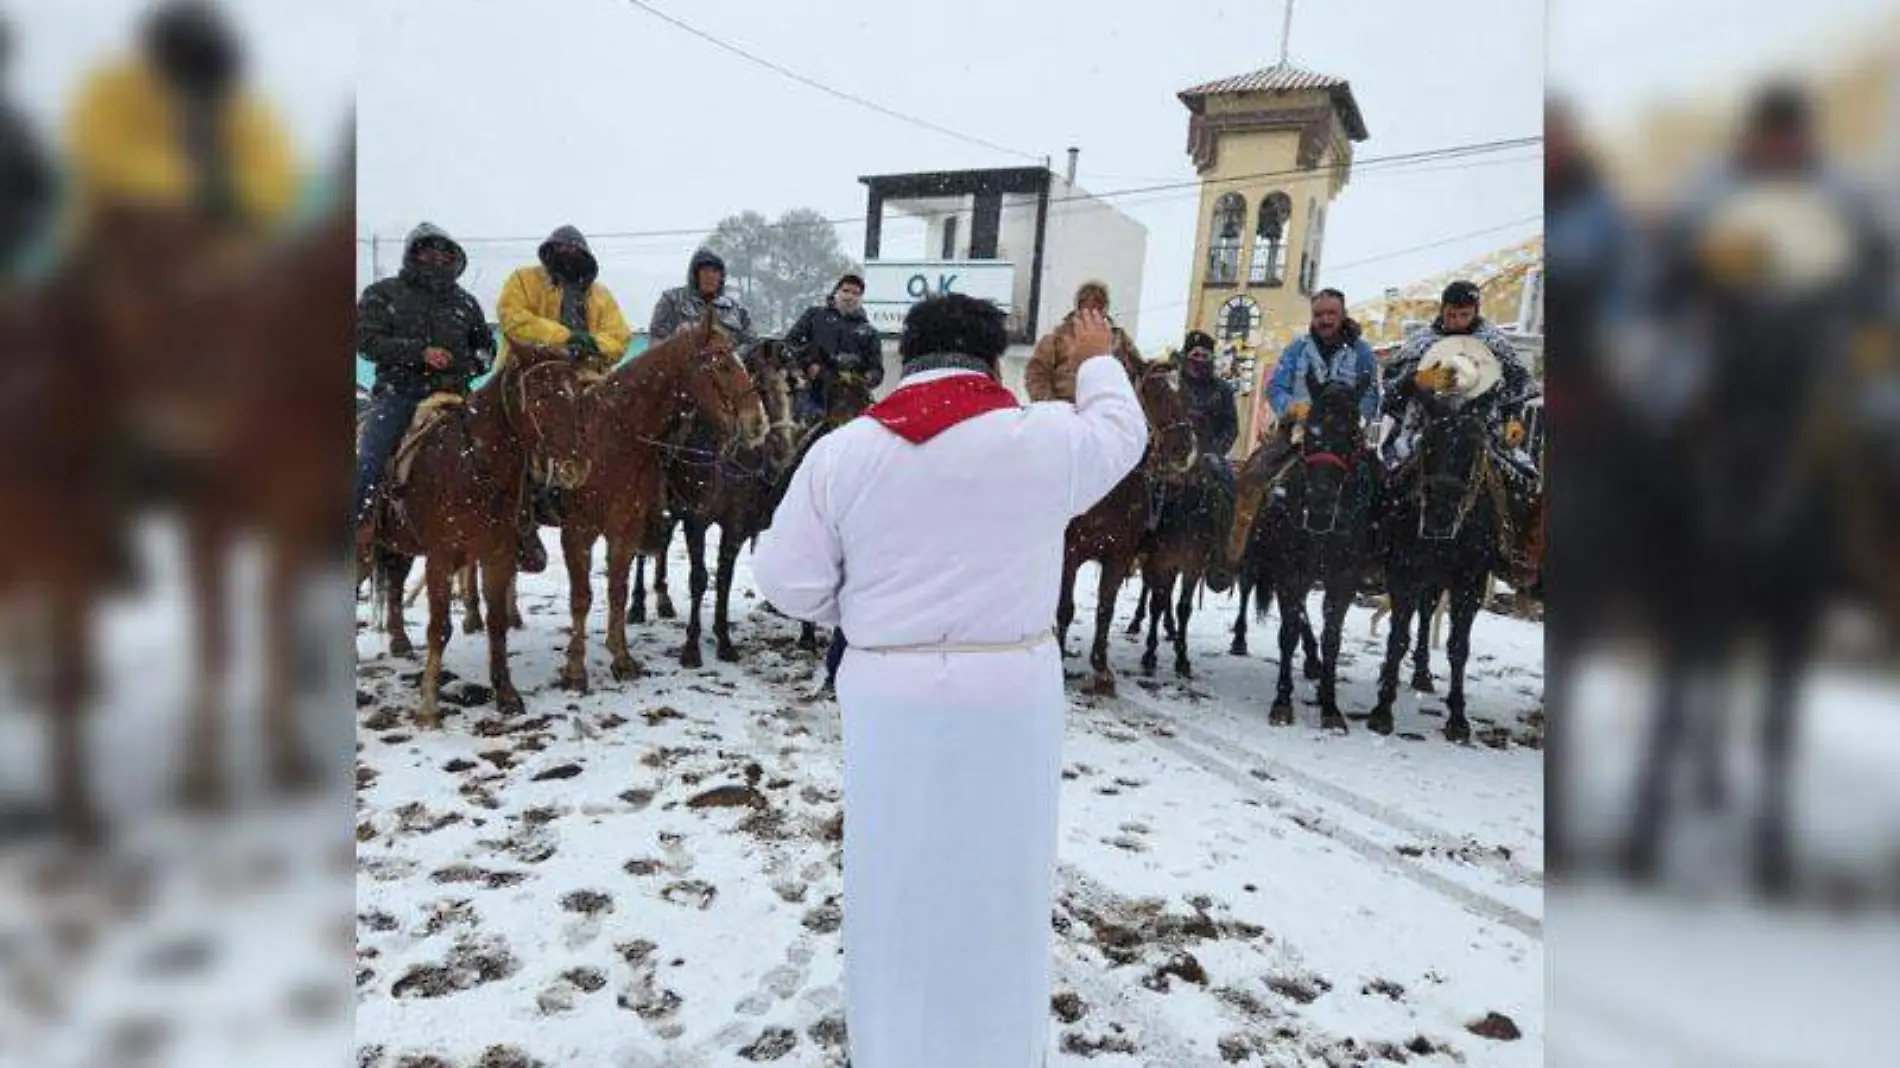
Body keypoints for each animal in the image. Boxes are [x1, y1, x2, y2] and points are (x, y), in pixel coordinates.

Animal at [364, 340, 585, 722]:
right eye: (541, 393)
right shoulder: (440, 559)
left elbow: (497, 624)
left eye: (576, 392)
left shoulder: (498, 556)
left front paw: (506, 694)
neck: (472, 463)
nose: (576, 466)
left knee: (394, 582)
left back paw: (399, 641)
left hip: (398, 545)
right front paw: (428, 704)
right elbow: (439, 629)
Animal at [551, 307, 763, 691]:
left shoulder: (632, 525)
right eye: (723, 363)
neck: (610, 436)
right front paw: (575, 669)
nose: (757, 423)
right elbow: (583, 597)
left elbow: (618, 589)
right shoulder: (578, 531)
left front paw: (622, 659)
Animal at [1056, 361, 1200, 695]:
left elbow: (1105, 609)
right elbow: (1066, 608)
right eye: (1155, 393)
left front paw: (1101, 669)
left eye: (1188, 396)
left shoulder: (1118, 555)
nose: (1184, 449)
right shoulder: (1070, 553)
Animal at [1261, 370, 1383, 725]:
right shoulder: (1290, 570)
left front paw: (1330, 707)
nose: (1321, 500)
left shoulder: (1343, 578)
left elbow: (1333, 638)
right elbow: (1288, 632)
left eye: (1353, 434)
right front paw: (1282, 702)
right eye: (1312, 430)